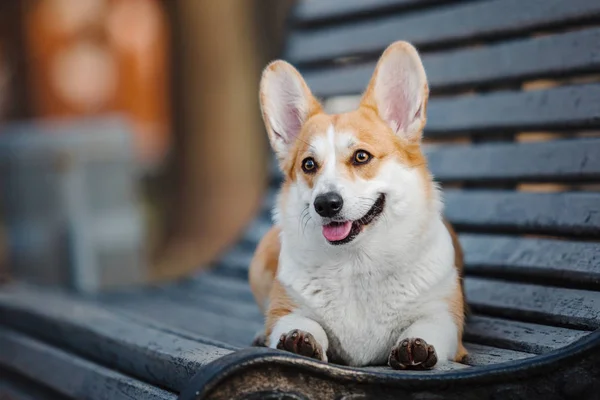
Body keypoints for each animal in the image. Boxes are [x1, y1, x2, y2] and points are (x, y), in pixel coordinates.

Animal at [248, 40, 468, 368]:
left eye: (361, 156)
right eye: (308, 164)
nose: (326, 204)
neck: (356, 262)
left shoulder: (444, 316)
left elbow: (429, 326)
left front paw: (414, 347)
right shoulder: (285, 310)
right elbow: (299, 322)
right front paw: (299, 340)